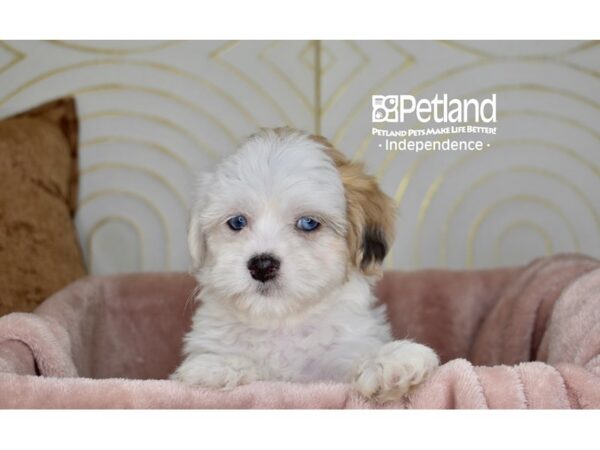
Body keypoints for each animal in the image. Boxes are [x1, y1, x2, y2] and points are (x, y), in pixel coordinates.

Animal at [171, 126, 438, 400]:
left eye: (308, 223)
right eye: (237, 222)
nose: (262, 265)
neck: (280, 323)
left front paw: (389, 362)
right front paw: (219, 365)